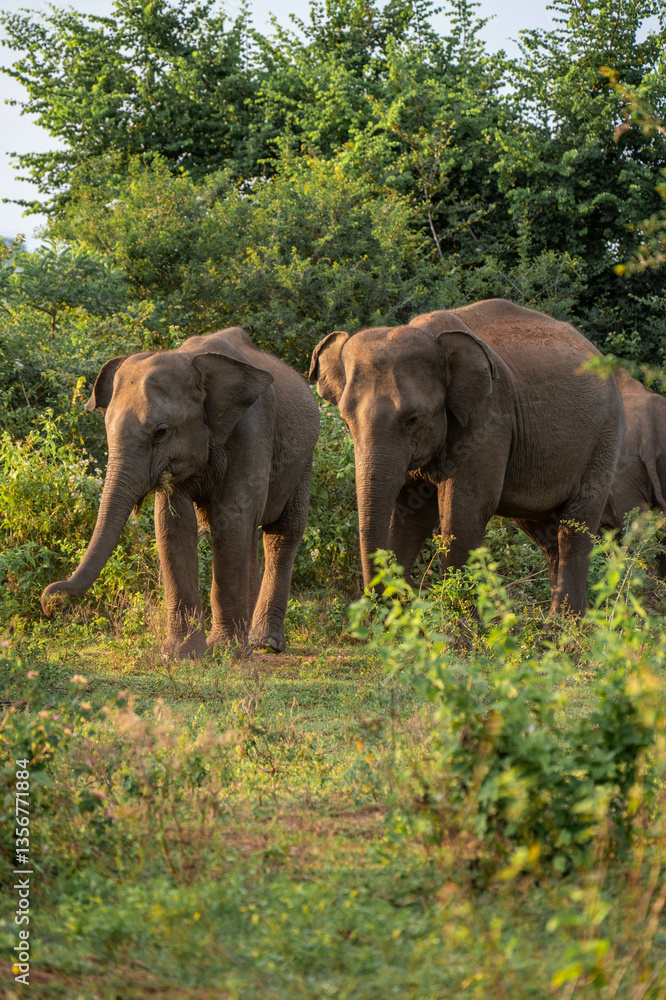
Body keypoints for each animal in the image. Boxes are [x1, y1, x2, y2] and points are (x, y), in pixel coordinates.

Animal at [41, 328, 320, 658]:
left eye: (161, 432)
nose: (49, 602)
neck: (190, 360)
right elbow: (173, 524)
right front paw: (181, 654)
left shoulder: (253, 428)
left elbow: (231, 518)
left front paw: (225, 652)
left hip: (304, 458)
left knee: (282, 531)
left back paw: (265, 644)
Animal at [309, 298, 625, 614]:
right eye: (345, 421)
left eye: (413, 419)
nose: (415, 589)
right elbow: (411, 508)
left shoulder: (489, 416)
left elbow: (464, 512)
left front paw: (457, 619)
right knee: (546, 535)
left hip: (605, 438)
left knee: (576, 525)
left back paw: (564, 624)